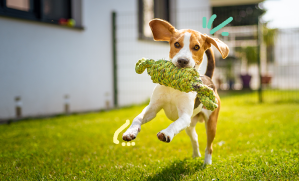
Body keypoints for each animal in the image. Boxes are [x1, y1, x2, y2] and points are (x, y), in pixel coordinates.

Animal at [122, 19, 230, 165]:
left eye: (196, 47)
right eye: (177, 44)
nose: (182, 61)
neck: (174, 86)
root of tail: (208, 77)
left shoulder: (184, 116)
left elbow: (175, 123)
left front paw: (166, 133)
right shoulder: (153, 108)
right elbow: (138, 117)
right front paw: (131, 132)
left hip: (211, 124)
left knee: (209, 146)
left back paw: (206, 163)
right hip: (190, 125)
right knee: (194, 137)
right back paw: (196, 155)